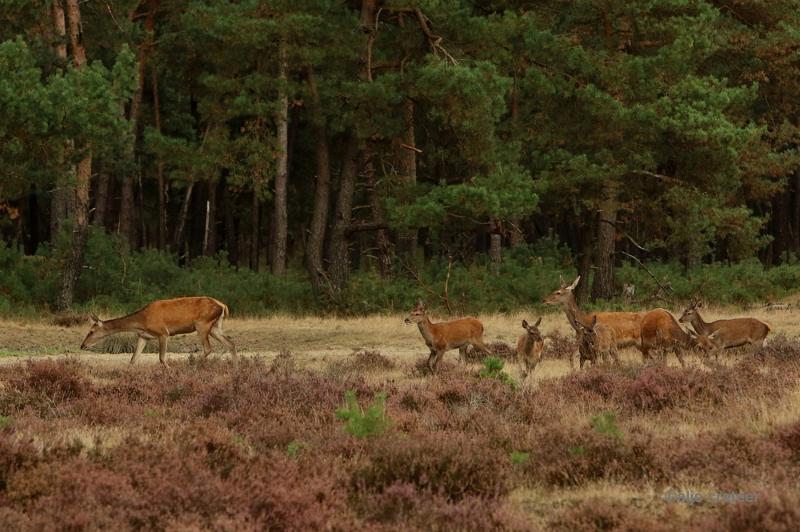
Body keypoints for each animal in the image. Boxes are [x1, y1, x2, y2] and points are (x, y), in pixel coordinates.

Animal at [81, 296, 238, 366]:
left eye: (91, 331)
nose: (82, 345)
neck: (142, 322)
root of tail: (223, 305)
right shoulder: (143, 336)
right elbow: (133, 359)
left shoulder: (163, 333)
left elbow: (161, 358)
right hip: (215, 327)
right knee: (231, 344)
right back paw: (235, 369)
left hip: (202, 324)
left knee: (208, 348)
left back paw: (190, 366)